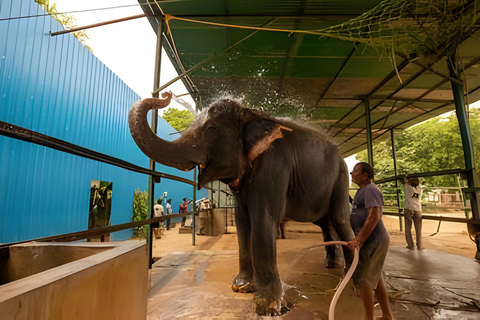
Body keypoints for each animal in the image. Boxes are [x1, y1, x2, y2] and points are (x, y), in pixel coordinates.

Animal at [129, 92, 354, 316]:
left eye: (211, 130)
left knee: (340, 219)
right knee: (326, 223)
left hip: (341, 177)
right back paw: (332, 265)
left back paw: (350, 276)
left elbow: (263, 219)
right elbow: (241, 221)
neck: (249, 113)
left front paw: (268, 307)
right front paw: (241, 287)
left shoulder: (274, 165)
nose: (166, 94)